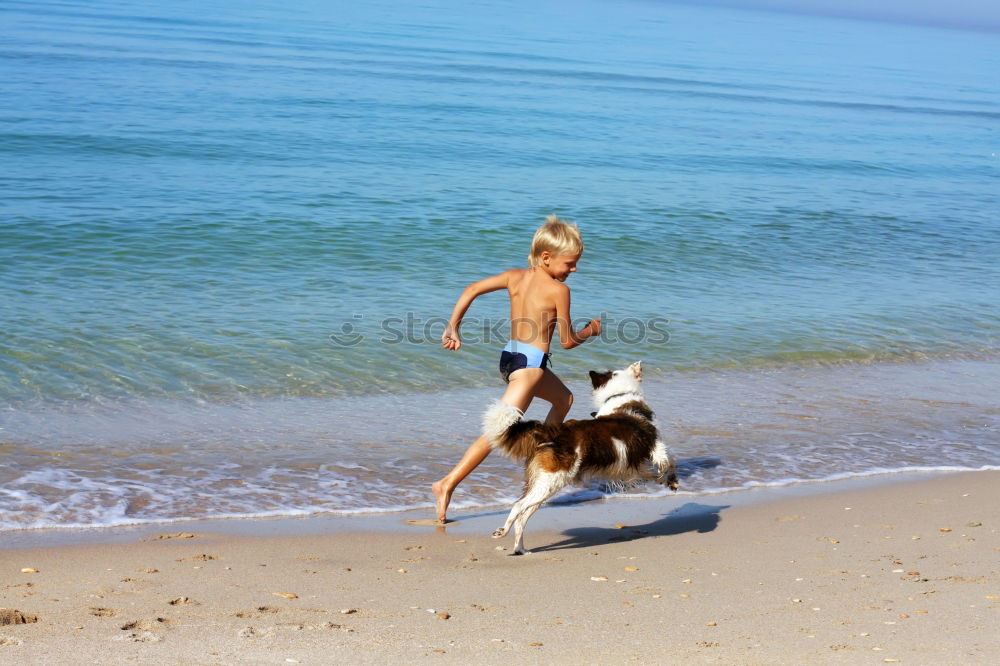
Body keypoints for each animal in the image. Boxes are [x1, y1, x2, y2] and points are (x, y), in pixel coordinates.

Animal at [484, 360, 680, 552]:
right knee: (518, 506)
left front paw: (667, 481)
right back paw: (502, 532)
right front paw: (672, 481)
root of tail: (549, 431)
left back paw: (520, 549)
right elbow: (669, 462)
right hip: (552, 480)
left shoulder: (635, 466)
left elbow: (655, 472)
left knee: (522, 516)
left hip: (541, 484)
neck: (619, 396)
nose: (639, 364)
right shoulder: (656, 446)